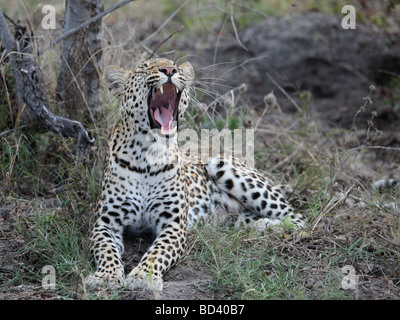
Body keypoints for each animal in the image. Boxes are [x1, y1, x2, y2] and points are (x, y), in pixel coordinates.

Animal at [87, 57, 304, 292]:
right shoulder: (105, 223)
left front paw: (143, 276)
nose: (170, 70)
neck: (147, 154)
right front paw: (107, 276)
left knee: (298, 219)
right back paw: (255, 224)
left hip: (224, 166)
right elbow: (106, 250)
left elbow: (158, 251)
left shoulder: (174, 224)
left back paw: (271, 226)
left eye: (175, 65)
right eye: (144, 67)